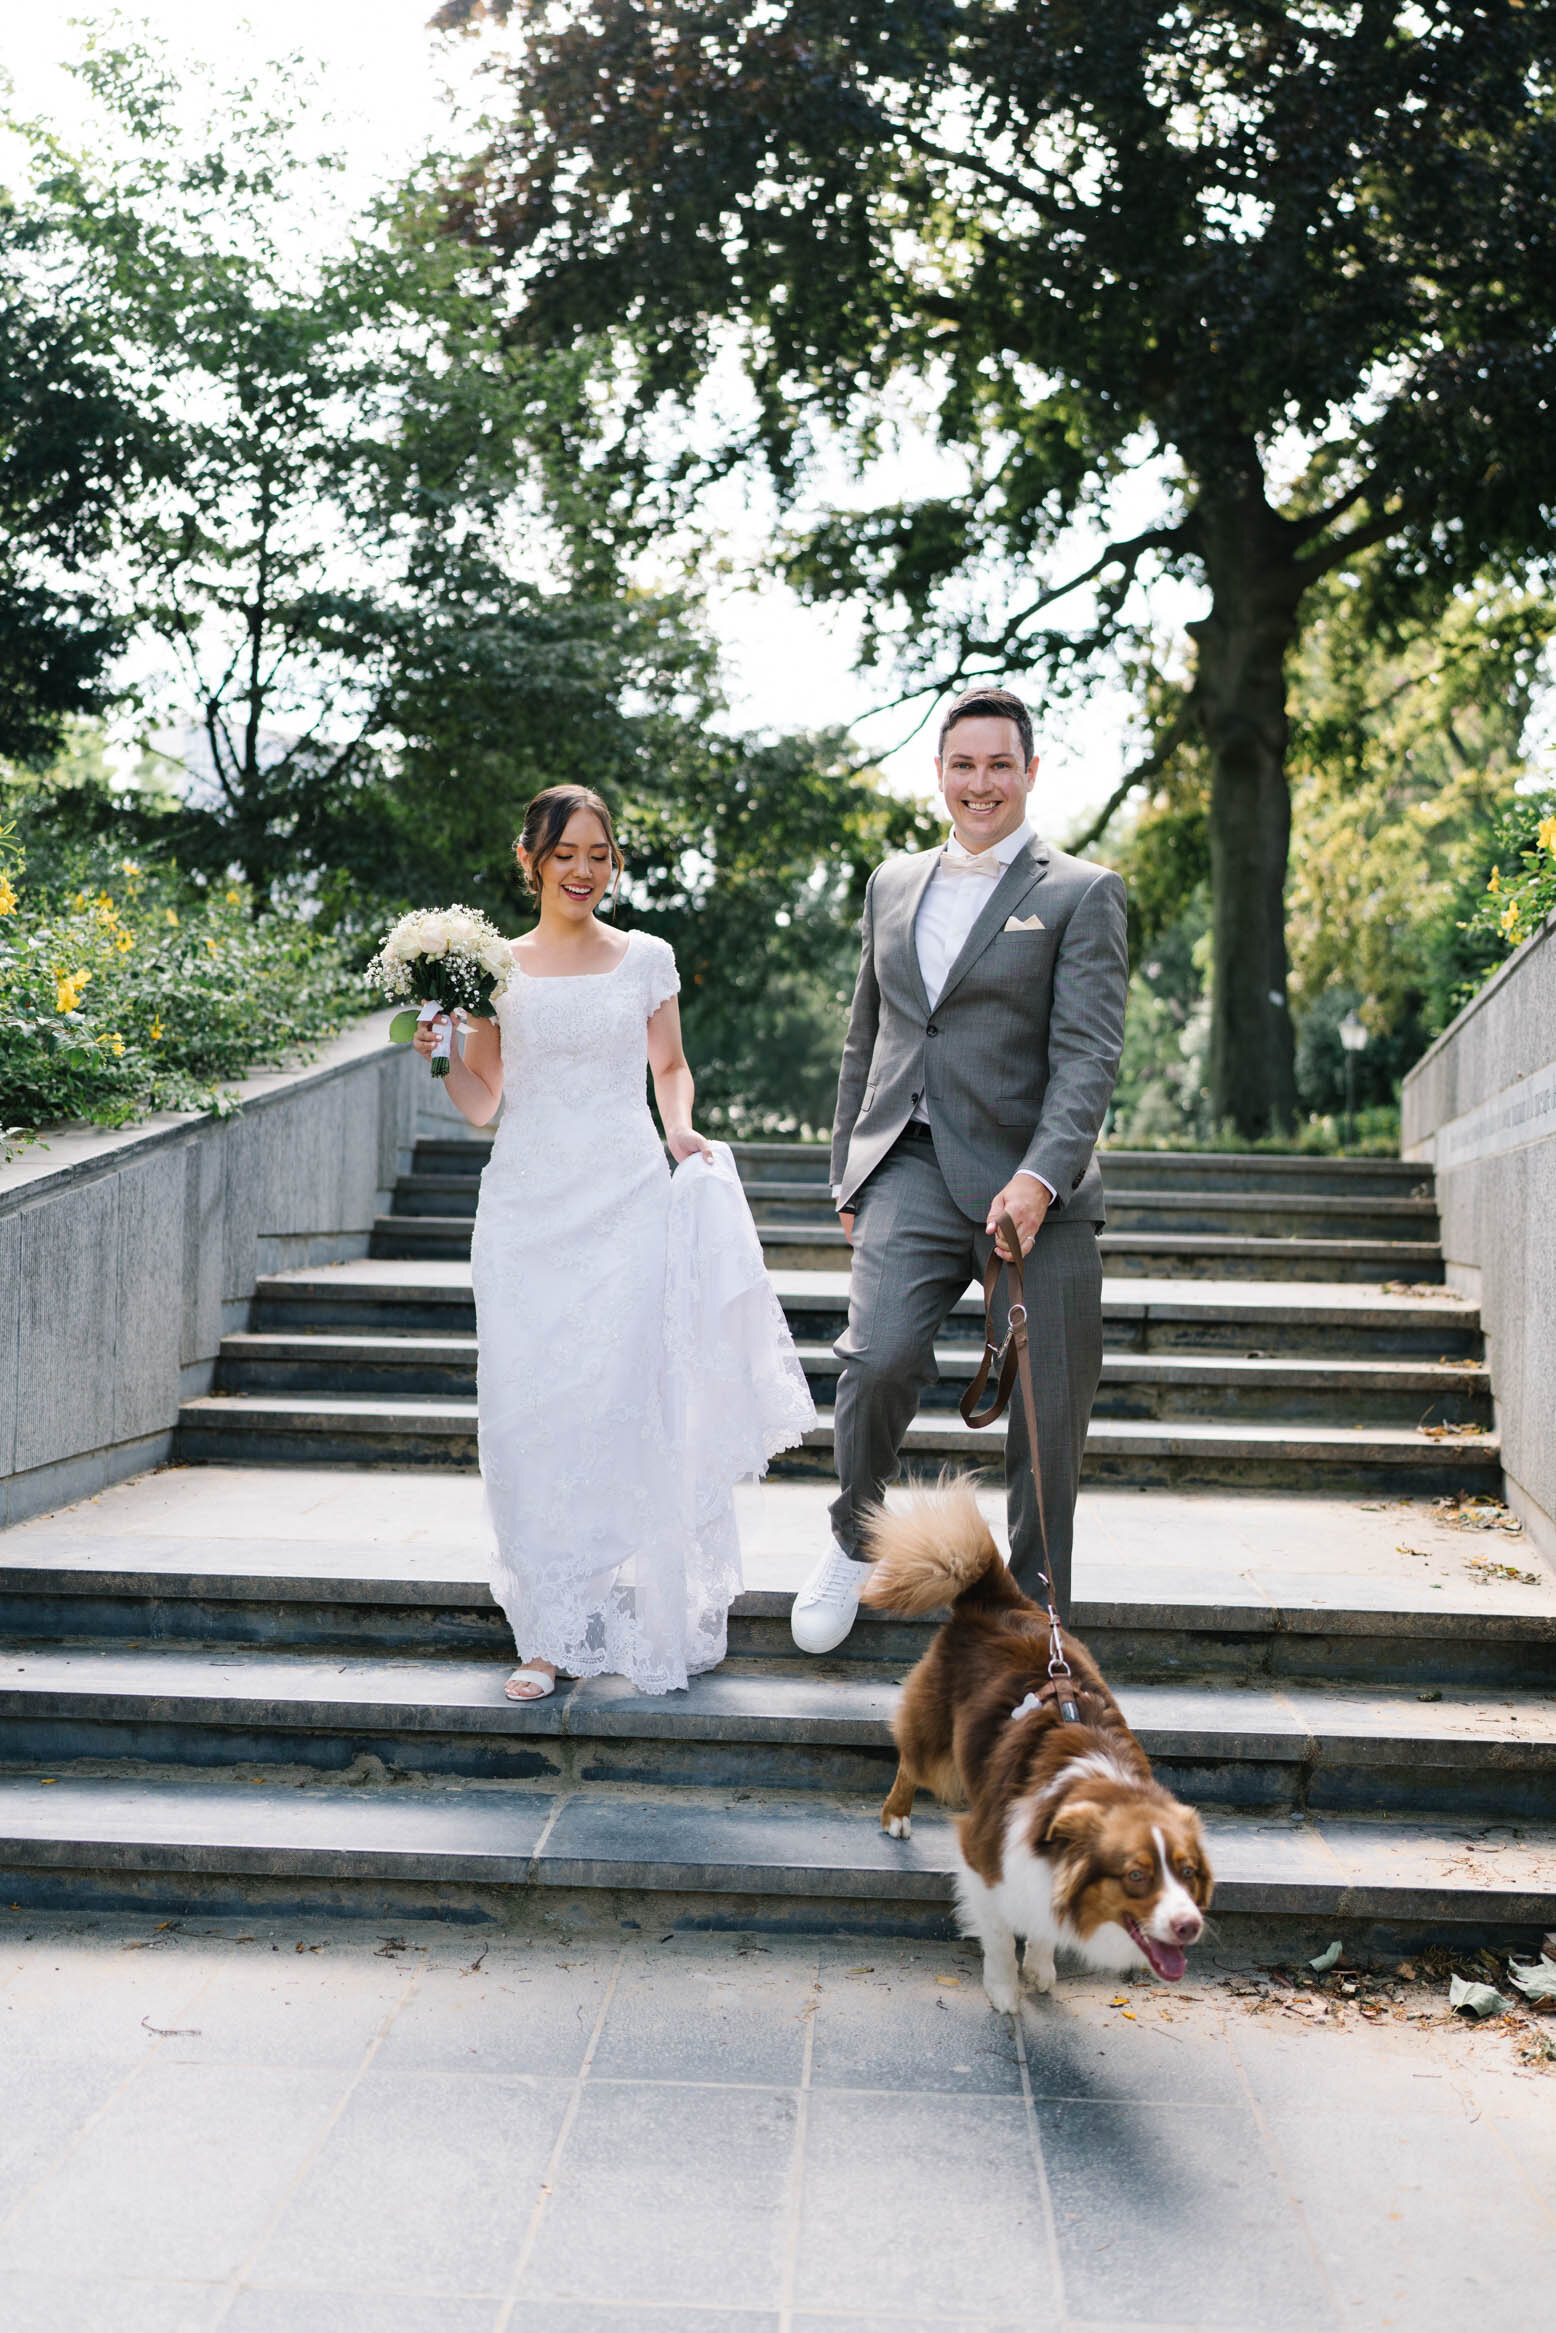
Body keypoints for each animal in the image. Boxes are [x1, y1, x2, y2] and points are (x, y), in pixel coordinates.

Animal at [863, 1493, 1213, 2006]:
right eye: (1135, 1875)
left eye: (1187, 1872)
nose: (1189, 1926)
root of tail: (994, 1596)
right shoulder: (983, 1855)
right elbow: (998, 1931)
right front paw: (1004, 1989)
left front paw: (1041, 1967)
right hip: (936, 1742)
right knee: (911, 1760)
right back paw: (896, 1817)